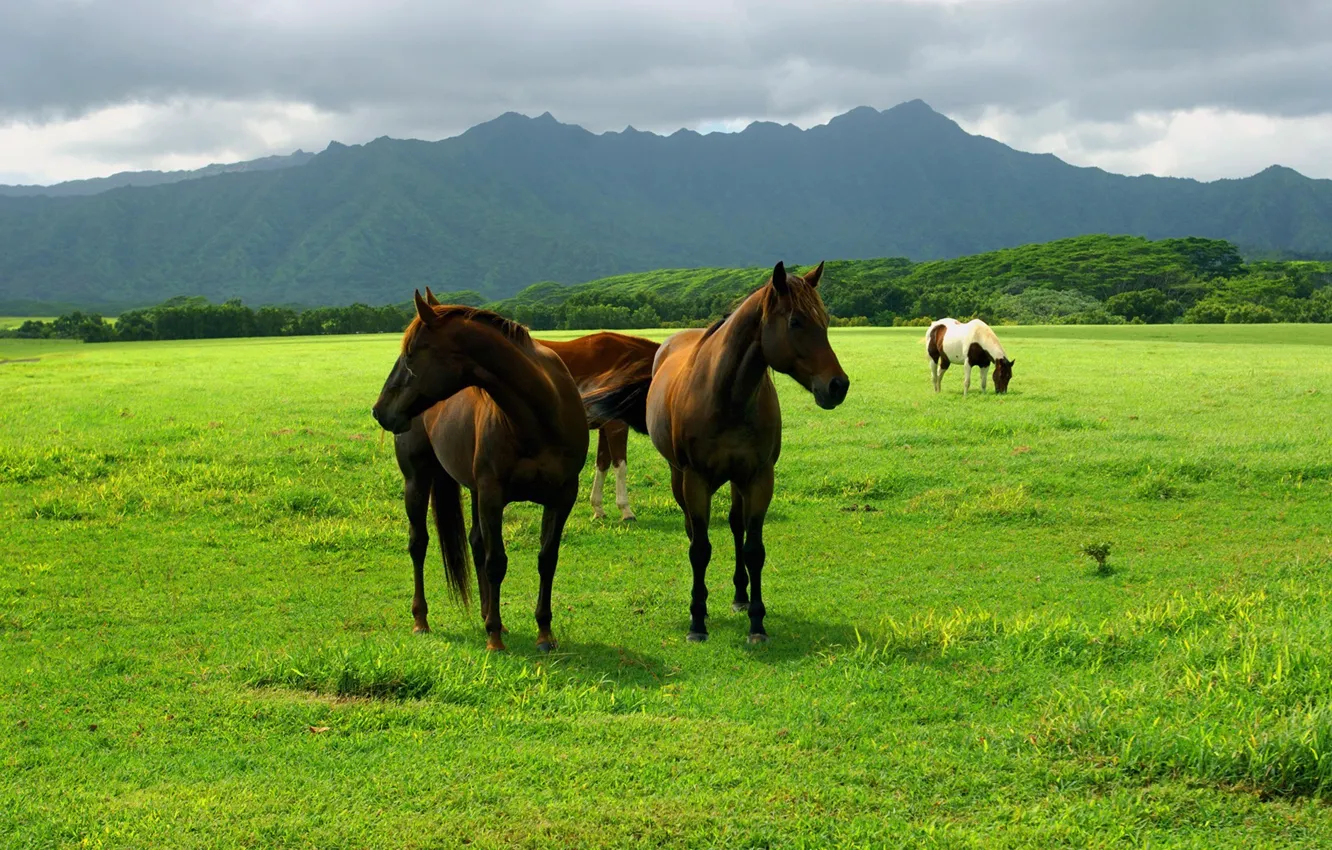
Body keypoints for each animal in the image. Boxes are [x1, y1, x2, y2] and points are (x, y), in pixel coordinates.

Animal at [370, 291, 588, 652]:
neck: (540, 416)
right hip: (418, 481)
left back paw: (487, 614)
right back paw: (422, 620)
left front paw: (544, 632)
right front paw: (495, 638)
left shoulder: (562, 496)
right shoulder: (492, 495)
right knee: (419, 543)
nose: (379, 411)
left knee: (474, 542)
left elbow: (547, 559)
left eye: (411, 353)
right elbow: (496, 561)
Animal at [588, 259, 847, 644]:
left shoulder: (758, 478)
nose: (837, 386)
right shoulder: (695, 480)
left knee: (736, 526)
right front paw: (697, 620)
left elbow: (754, 549)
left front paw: (757, 622)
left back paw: (740, 596)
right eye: (795, 322)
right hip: (679, 477)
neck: (727, 396)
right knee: (693, 531)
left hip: (737, 481)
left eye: (826, 320)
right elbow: (700, 549)